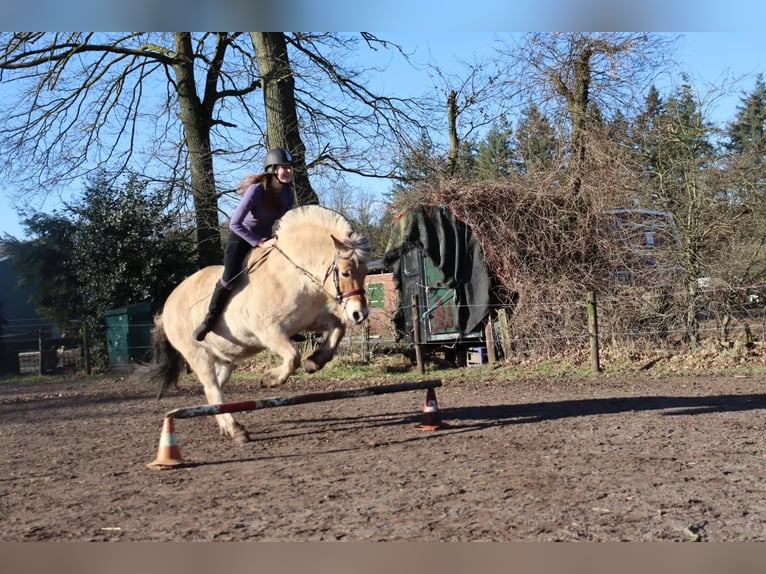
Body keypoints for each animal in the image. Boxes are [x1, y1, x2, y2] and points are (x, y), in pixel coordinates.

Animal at [149, 207, 372, 446]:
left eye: (365, 272)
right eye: (346, 272)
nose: (360, 314)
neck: (296, 276)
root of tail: (169, 304)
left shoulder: (311, 320)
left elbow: (338, 329)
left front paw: (314, 362)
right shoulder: (270, 331)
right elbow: (293, 357)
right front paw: (269, 380)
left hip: (222, 358)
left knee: (216, 388)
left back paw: (226, 426)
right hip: (197, 354)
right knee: (212, 388)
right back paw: (236, 430)